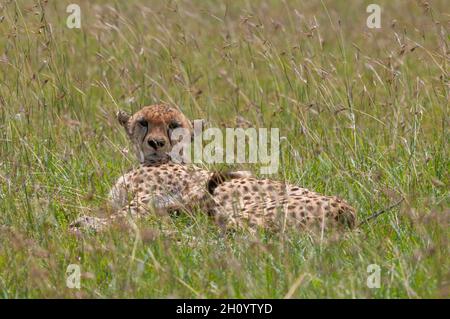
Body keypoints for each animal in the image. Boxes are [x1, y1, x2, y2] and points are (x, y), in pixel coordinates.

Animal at [70, 104, 356, 232]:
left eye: (173, 126)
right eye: (143, 122)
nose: (156, 143)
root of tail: (346, 209)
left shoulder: (147, 199)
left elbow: (123, 215)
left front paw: (88, 222)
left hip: (243, 210)